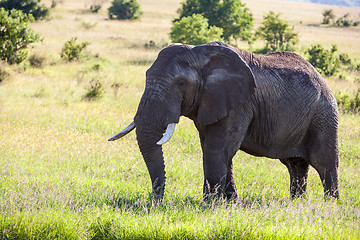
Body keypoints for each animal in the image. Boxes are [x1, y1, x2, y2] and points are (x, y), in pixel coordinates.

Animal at [108, 42, 338, 202]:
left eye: (181, 83)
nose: (155, 200)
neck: (200, 54)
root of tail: (321, 77)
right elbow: (215, 149)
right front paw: (229, 202)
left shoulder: (240, 103)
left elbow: (217, 148)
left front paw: (209, 205)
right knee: (295, 164)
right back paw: (296, 203)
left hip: (324, 115)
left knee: (324, 163)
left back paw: (330, 205)